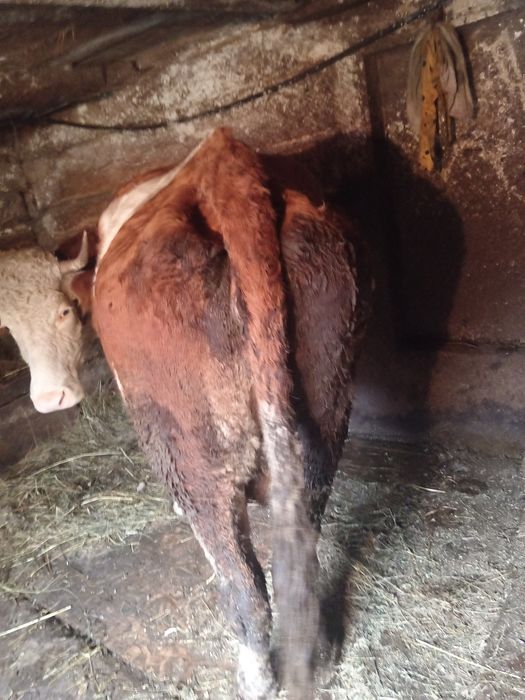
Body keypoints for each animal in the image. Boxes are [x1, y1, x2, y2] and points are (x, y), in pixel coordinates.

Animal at [0, 128, 370, 700]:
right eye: (10, 329)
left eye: (63, 312)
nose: (49, 399)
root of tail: (225, 168)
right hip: (326, 405)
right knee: (303, 536)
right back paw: (319, 654)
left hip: (194, 449)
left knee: (241, 581)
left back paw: (255, 675)